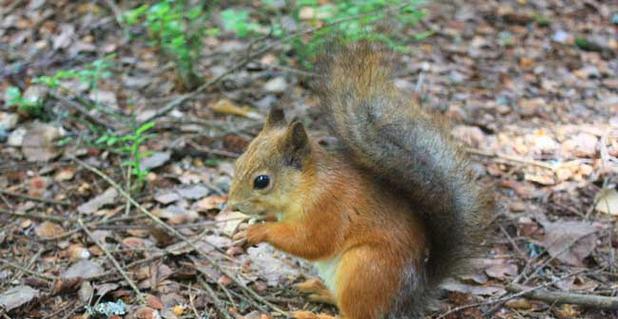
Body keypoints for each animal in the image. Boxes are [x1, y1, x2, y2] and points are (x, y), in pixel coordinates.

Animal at [225, 43, 490, 319]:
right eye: (238, 161)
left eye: (262, 181)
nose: (232, 204)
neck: (308, 186)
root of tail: (409, 300)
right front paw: (245, 227)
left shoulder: (328, 209)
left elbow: (310, 242)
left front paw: (258, 231)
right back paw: (320, 291)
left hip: (363, 271)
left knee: (356, 314)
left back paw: (312, 314)